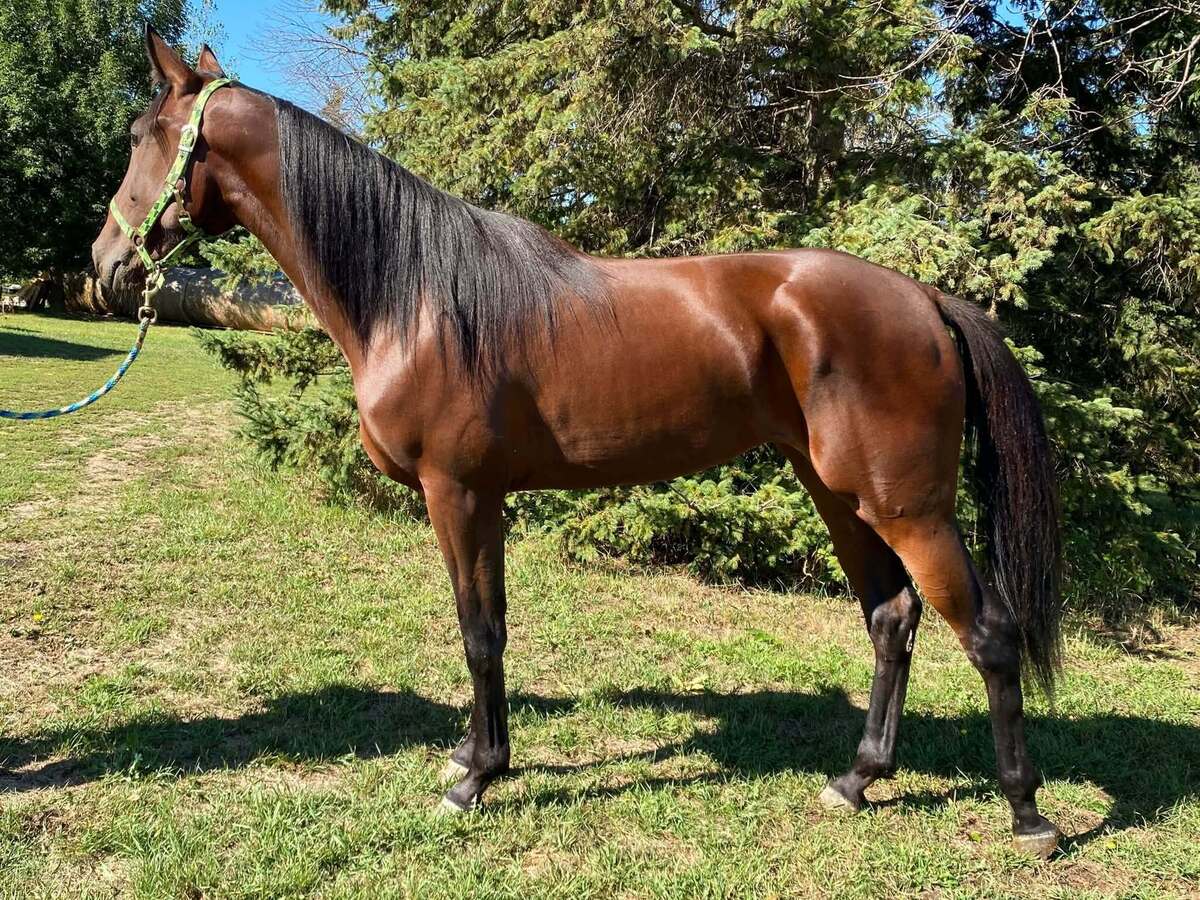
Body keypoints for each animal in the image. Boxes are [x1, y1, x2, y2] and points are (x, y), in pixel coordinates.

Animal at [91, 26, 1064, 856]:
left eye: (146, 135)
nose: (106, 263)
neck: (415, 297)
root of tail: (925, 300)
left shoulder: (460, 493)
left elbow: (480, 632)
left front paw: (475, 781)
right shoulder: (476, 498)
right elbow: (483, 627)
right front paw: (473, 756)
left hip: (907, 506)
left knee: (988, 633)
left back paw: (1028, 814)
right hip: (838, 493)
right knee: (892, 617)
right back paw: (857, 779)